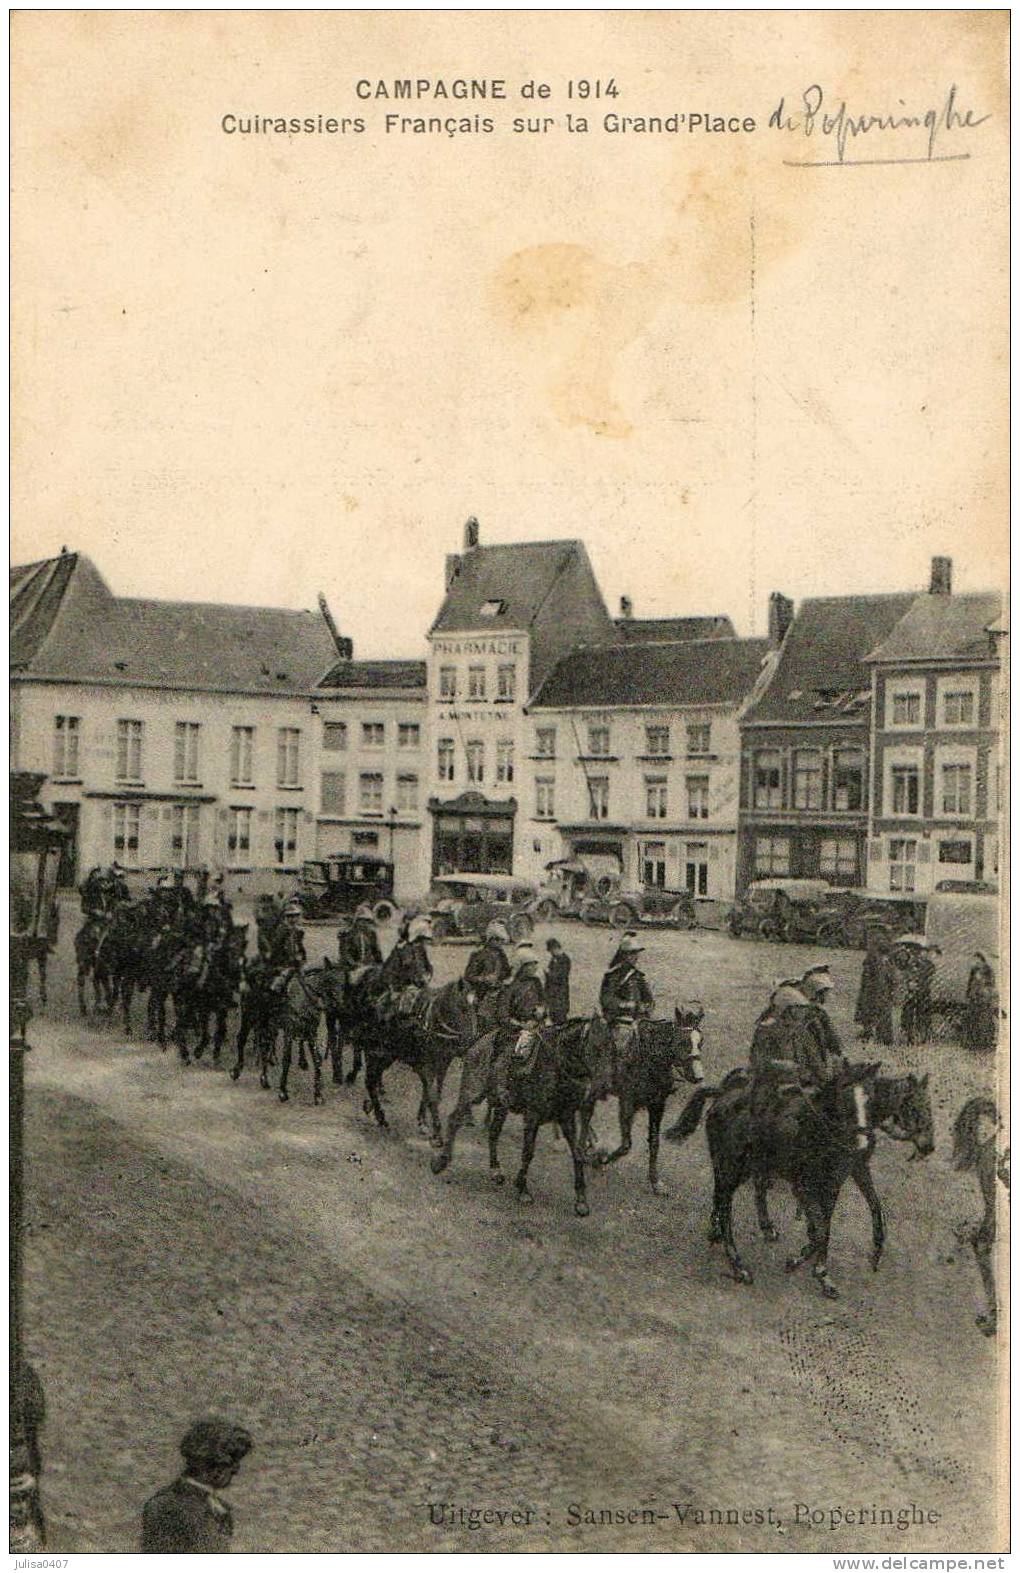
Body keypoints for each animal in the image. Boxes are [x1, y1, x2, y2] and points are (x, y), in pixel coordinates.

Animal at [360, 975, 481, 1138]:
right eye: (461, 1007)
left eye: (476, 1006)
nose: (471, 1040)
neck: (432, 1025)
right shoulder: (426, 1066)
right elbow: (431, 1094)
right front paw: (435, 1129)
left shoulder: (442, 1064)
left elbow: (432, 1092)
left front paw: (423, 1121)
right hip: (378, 1053)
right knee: (370, 1080)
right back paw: (381, 1118)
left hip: (385, 1055)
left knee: (373, 1079)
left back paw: (371, 1106)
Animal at [431, 1013, 613, 1220]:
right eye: (597, 1047)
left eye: (612, 1048)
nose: (605, 1086)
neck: (556, 1067)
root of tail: (480, 1041)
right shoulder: (532, 1116)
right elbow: (528, 1152)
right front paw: (522, 1189)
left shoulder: (566, 1118)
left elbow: (577, 1153)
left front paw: (581, 1200)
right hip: (472, 1092)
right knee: (455, 1120)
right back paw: (441, 1162)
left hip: (501, 1104)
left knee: (493, 1133)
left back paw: (496, 1171)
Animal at [579, 1006, 705, 1189]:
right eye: (682, 1042)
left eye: (701, 1042)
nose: (698, 1076)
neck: (649, 1059)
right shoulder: (627, 1103)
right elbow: (626, 1145)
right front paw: (600, 1159)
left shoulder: (657, 1105)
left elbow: (654, 1142)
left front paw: (655, 1182)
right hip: (594, 1085)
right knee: (585, 1109)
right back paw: (587, 1150)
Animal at [664, 1057, 938, 1302]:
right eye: (914, 1107)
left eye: (869, 1100)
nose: (929, 1147)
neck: (818, 1129)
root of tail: (722, 1095)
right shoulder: (804, 1186)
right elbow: (820, 1229)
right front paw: (810, 1268)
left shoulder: (840, 1178)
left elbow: (837, 1220)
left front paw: (820, 1265)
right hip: (732, 1168)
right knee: (725, 1203)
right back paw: (738, 1264)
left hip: (744, 1167)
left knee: (732, 1192)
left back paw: (732, 1231)